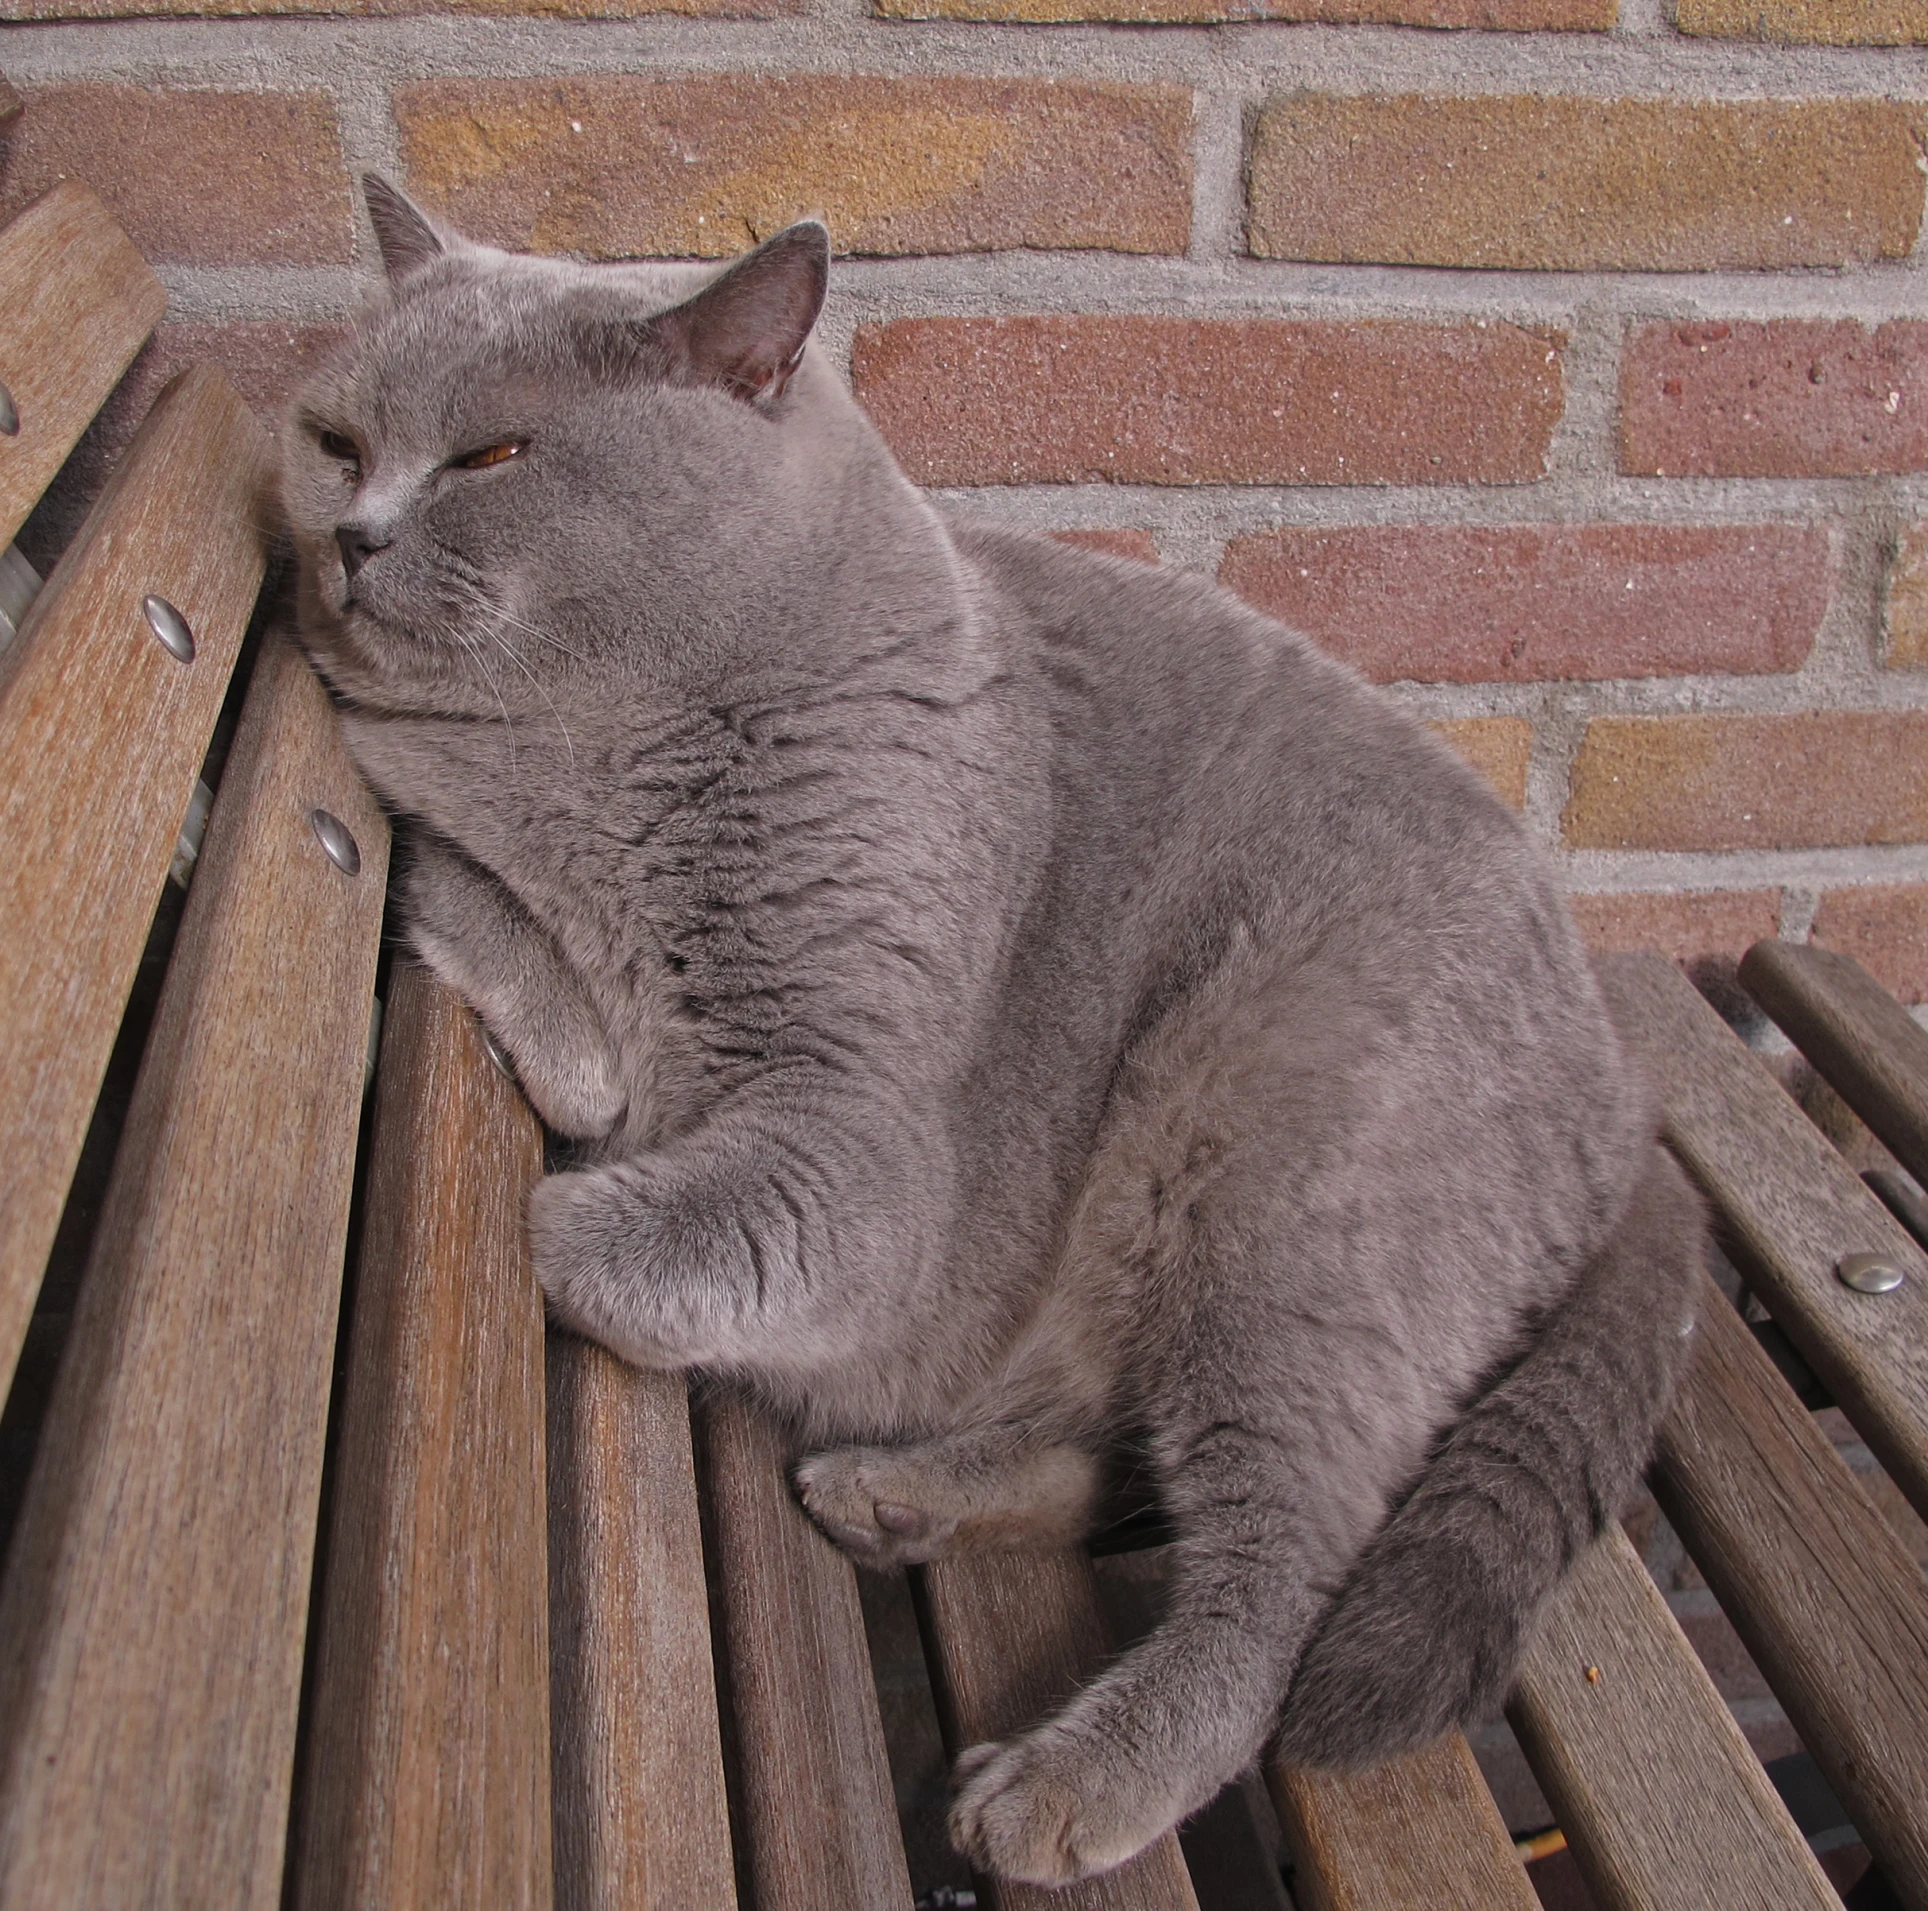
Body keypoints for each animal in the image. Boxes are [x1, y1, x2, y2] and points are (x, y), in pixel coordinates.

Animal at [281, 175, 1704, 1882]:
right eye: (337, 440)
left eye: (494, 456)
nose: (353, 532)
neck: (598, 753)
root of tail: (1628, 1100)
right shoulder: (467, 835)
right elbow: (477, 895)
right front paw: (553, 1012)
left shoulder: (863, 1132)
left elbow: (637, 1226)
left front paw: (566, 1187)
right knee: (1107, 1447)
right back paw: (893, 1496)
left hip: (1273, 1173)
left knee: (1287, 1573)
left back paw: (1059, 1781)